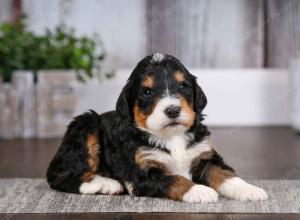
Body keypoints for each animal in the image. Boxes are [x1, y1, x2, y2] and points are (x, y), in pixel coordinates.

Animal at [47, 53, 270, 203]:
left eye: (183, 86)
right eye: (147, 92)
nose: (172, 110)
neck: (172, 136)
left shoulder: (204, 155)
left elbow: (224, 173)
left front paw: (250, 190)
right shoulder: (143, 173)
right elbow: (173, 179)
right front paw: (199, 191)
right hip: (87, 124)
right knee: (61, 177)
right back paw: (105, 184)